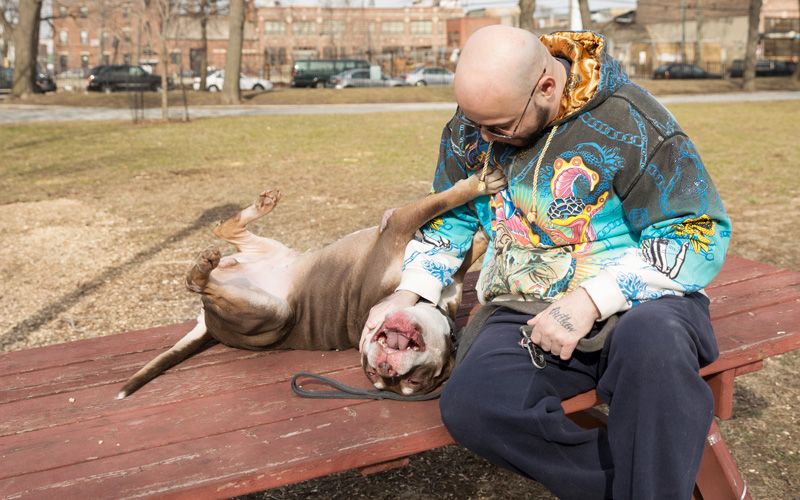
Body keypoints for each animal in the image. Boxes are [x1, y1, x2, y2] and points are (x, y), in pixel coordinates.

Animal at [115, 170, 504, 400]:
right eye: (373, 375)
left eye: (416, 382)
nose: (386, 370)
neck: (426, 302)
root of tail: (210, 325)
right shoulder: (397, 229)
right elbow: (444, 209)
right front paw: (477, 190)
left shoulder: (422, 256)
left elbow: (458, 252)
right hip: (276, 298)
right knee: (211, 253)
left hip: (272, 282)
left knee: (216, 246)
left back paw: (213, 257)